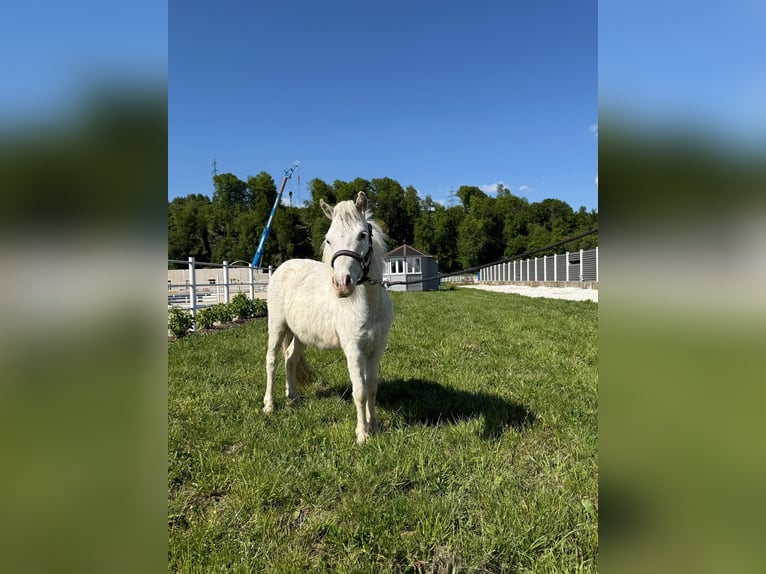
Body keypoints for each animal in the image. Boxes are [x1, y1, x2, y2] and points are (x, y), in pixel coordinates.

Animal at [263, 191, 394, 444]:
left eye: (362, 235)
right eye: (329, 239)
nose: (342, 284)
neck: (367, 303)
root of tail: (283, 267)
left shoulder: (377, 347)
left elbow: (372, 387)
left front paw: (374, 426)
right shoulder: (353, 348)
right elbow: (360, 391)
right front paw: (362, 434)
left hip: (300, 335)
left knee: (290, 360)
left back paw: (293, 398)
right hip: (277, 326)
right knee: (272, 361)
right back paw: (269, 406)